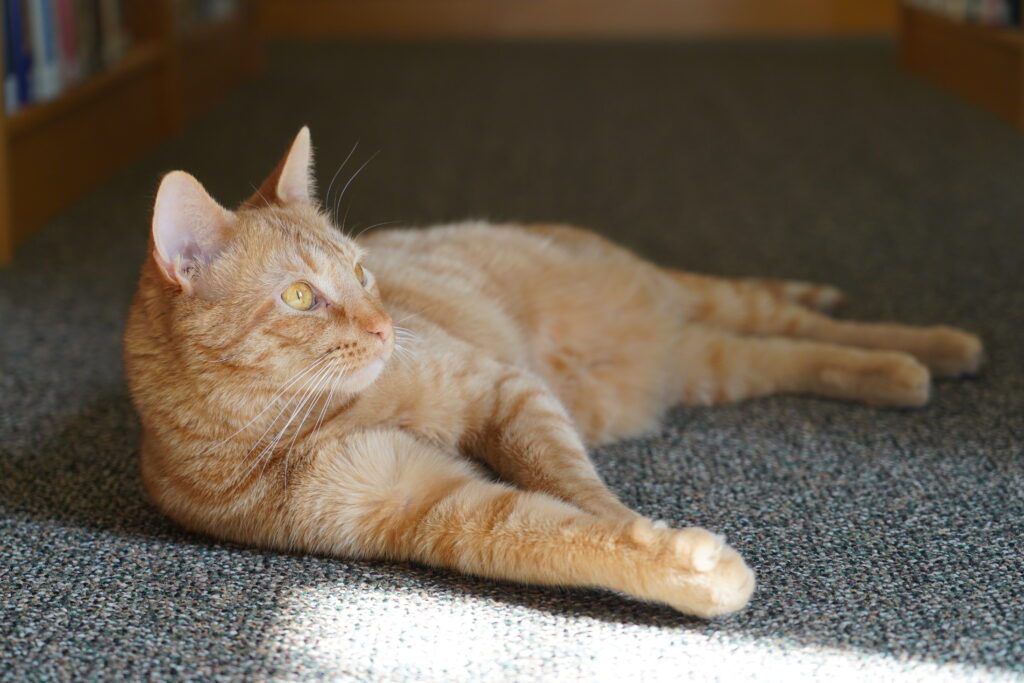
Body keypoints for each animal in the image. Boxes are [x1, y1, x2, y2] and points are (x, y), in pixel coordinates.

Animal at [123, 127, 978, 618]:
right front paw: (677, 563)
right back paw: (904, 371)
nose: (384, 325)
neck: (318, 414)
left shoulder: (503, 388)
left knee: (794, 316)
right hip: (709, 362)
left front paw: (640, 528)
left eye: (362, 272)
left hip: (690, 307)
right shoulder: (426, 505)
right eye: (301, 296)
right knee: (791, 348)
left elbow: (578, 488)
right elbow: (551, 533)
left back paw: (940, 344)